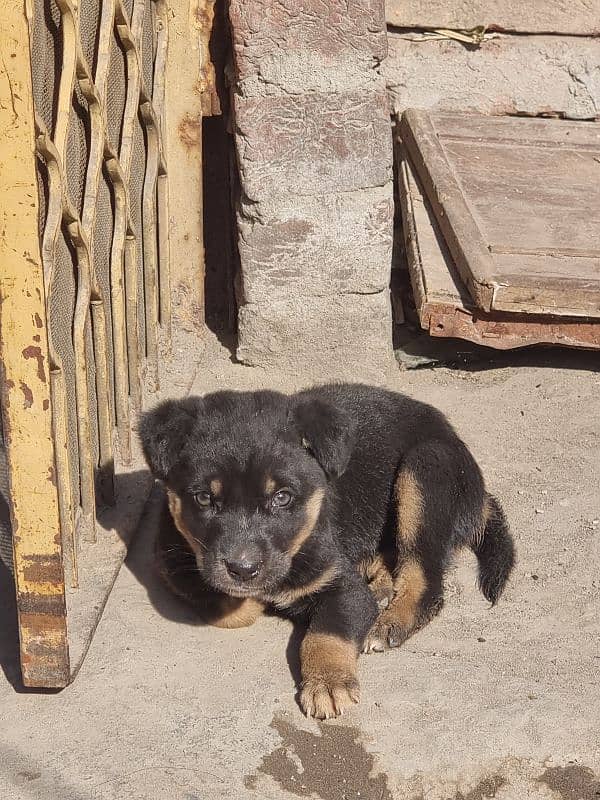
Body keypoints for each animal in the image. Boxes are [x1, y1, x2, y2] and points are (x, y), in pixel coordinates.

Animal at [138, 382, 512, 720]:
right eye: (203, 498)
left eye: (282, 497)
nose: (243, 569)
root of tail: (481, 496)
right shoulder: (173, 564)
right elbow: (225, 603)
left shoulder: (343, 587)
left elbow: (326, 634)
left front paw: (329, 684)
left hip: (425, 468)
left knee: (425, 579)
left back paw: (389, 622)